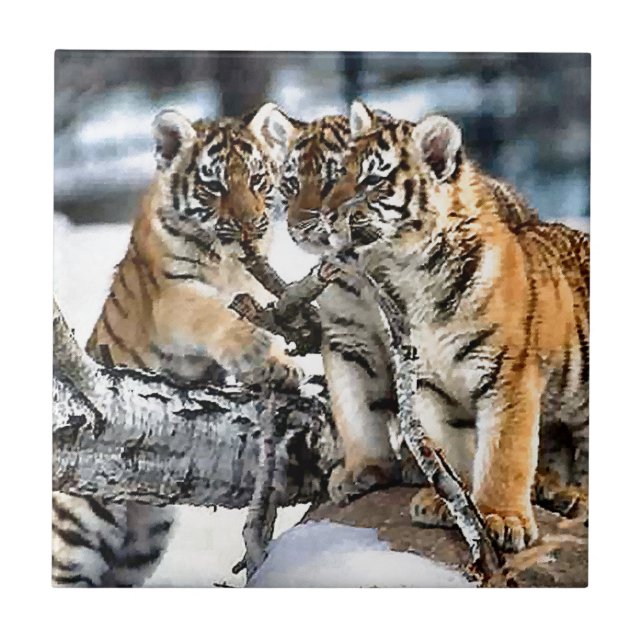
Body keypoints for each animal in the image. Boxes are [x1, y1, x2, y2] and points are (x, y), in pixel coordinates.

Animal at [52, 103, 302, 586]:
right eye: (215, 185)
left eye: (257, 180)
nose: (250, 225)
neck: (228, 263)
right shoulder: (173, 296)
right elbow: (213, 313)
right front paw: (254, 349)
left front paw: (279, 364)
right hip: (72, 540)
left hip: (141, 546)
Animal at [316, 100, 589, 552]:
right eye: (340, 173)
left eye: (372, 180)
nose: (324, 214)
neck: (411, 275)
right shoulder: (427, 382)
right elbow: (448, 447)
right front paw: (445, 504)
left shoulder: (509, 378)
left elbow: (504, 454)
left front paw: (501, 518)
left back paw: (571, 498)